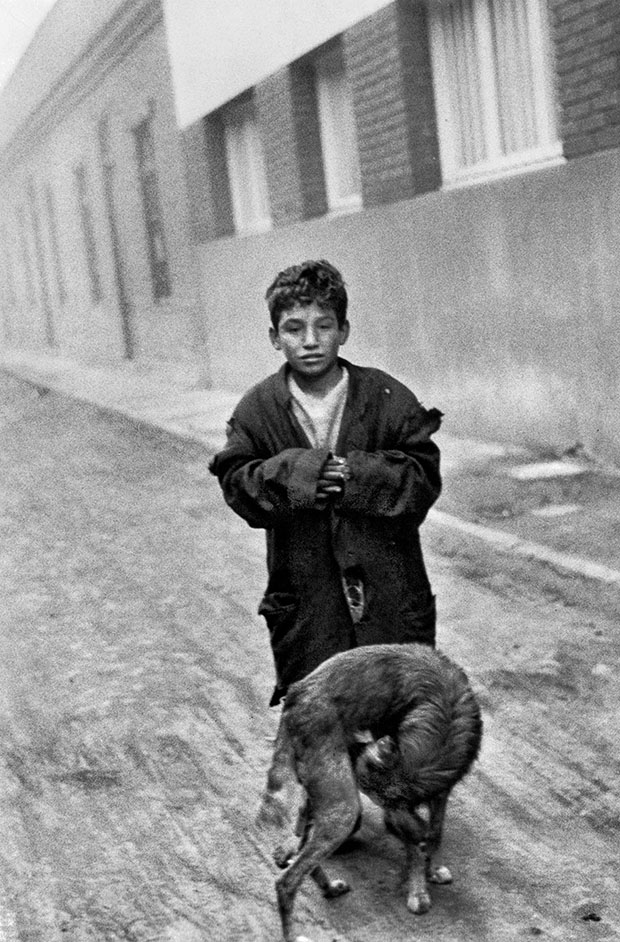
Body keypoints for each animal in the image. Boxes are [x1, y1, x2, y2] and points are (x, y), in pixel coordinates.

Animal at [254, 640, 482, 942]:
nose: (351, 749)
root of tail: (295, 696)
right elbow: (424, 839)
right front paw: (419, 889)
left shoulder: (435, 792)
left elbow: (434, 833)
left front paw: (428, 869)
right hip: (343, 807)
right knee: (286, 882)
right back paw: (293, 932)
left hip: (328, 796)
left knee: (304, 852)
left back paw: (328, 888)